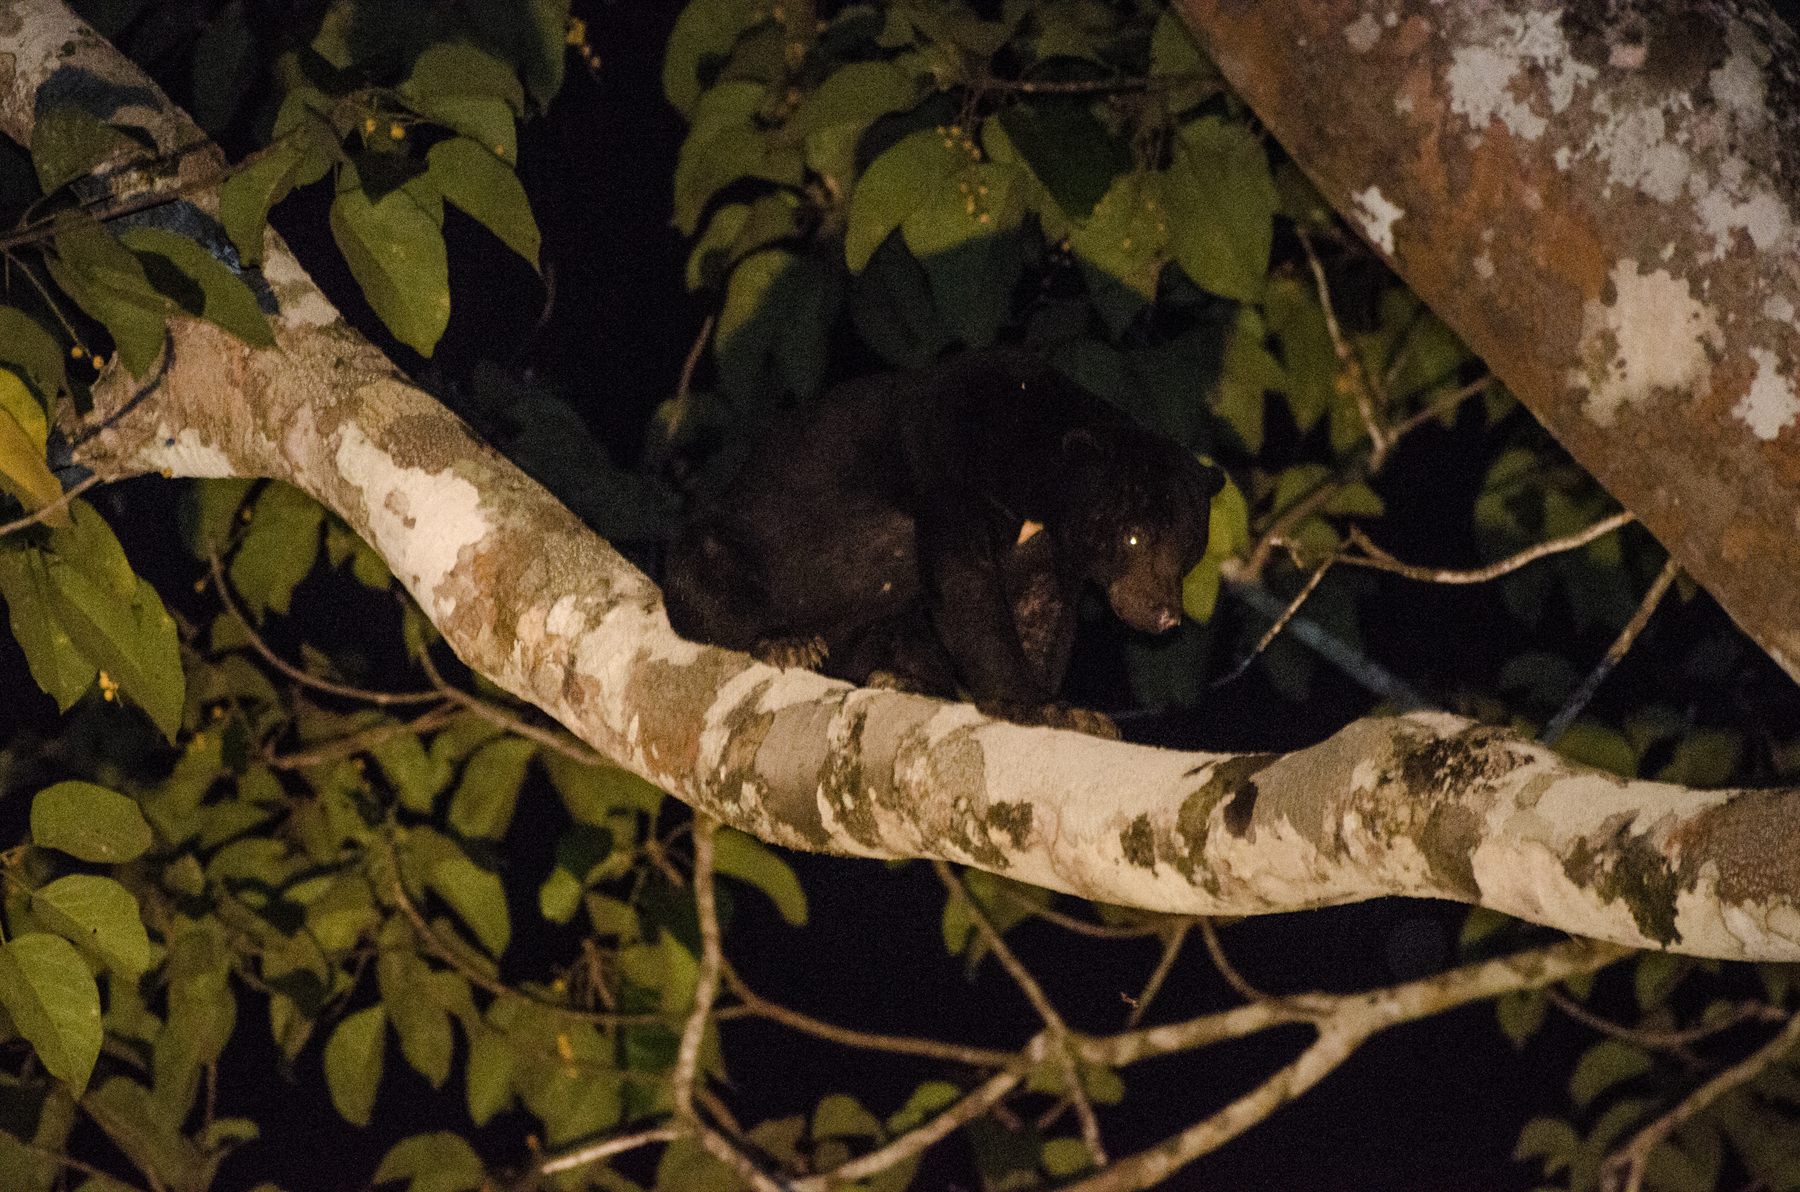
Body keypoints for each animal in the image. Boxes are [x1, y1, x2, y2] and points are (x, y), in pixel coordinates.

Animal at [661, 349, 1223, 734]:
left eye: (1190, 552)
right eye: (1133, 537)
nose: (1166, 613)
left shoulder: (1050, 552)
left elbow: (1040, 611)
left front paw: (1068, 709)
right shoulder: (948, 464)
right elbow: (964, 583)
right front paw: (1037, 706)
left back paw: (902, 679)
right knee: (700, 568)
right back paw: (788, 642)